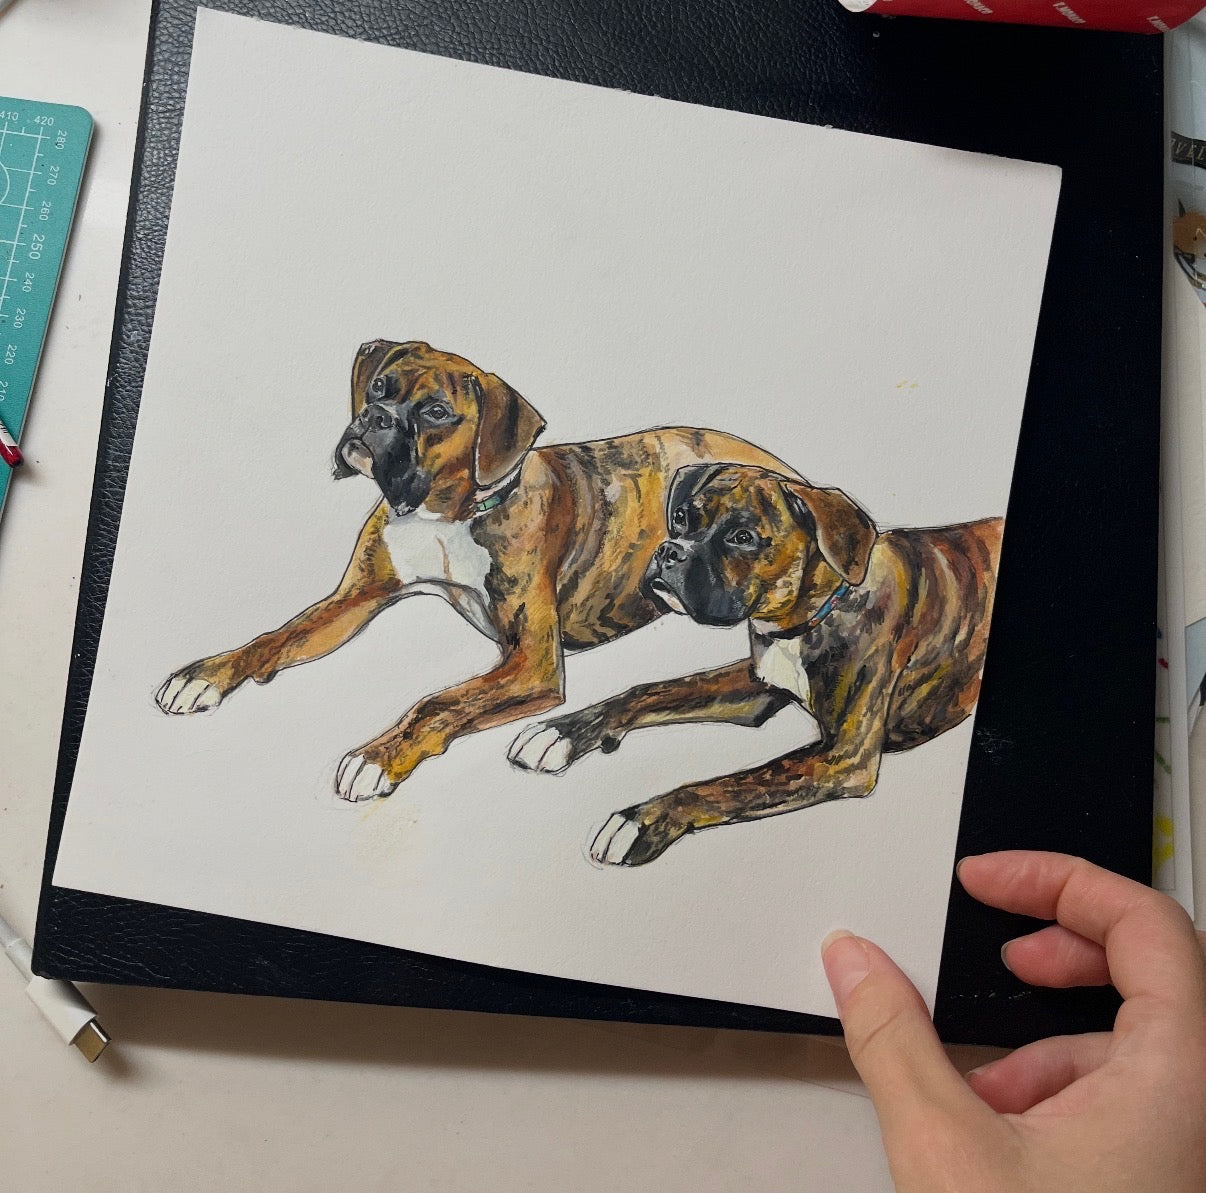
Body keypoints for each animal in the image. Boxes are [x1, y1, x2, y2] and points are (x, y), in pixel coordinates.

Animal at [155, 341, 794, 800]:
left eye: (436, 412)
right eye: (378, 387)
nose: (374, 416)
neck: (445, 515)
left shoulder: (532, 664)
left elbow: (439, 703)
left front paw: (377, 757)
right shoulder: (355, 600)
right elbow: (279, 637)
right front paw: (206, 675)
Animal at [508, 462, 1003, 866]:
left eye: (742, 538)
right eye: (681, 518)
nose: (670, 550)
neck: (813, 614)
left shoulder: (844, 759)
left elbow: (729, 784)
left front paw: (639, 820)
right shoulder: (756, 687)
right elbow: (649, 691)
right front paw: (561, 731)